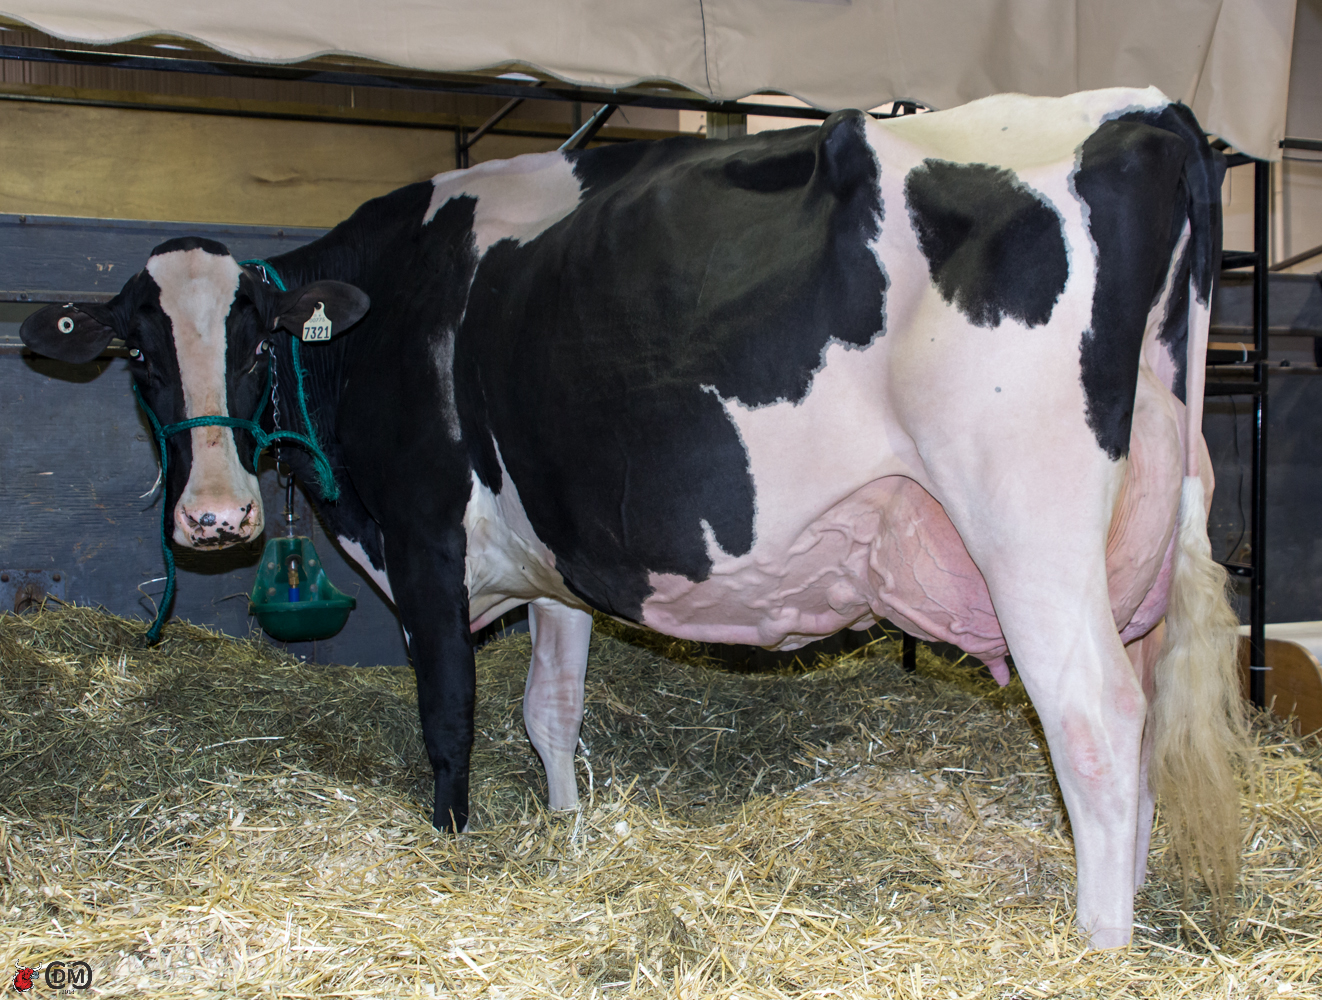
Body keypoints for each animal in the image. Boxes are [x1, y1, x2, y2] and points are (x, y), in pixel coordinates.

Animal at [18, 85, 1247, 947]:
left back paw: (1094, 943)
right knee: (1142, 720)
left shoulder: (421, 539)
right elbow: (549, 712)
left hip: (1026, 527)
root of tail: (1145, 112)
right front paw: (566, 831)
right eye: (141, 355)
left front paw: (452, 844)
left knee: (1096, 726)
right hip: (1147, 530)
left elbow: (450, 717)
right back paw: (1135, 903)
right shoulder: (552, 557)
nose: (217, 517)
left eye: (253, 342)